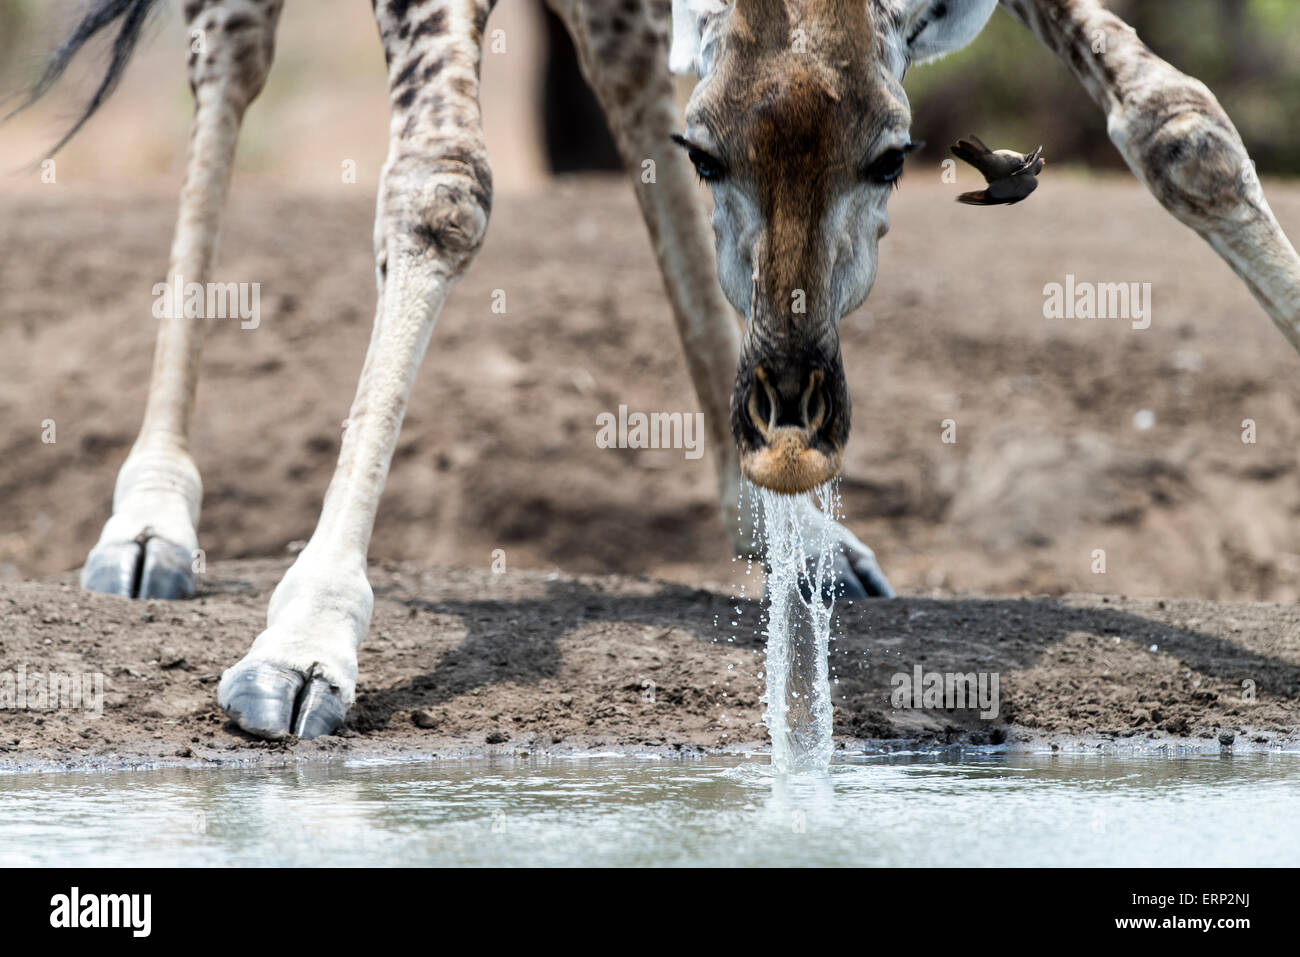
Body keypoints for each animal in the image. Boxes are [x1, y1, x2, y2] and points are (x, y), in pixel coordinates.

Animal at [17, 0, 1300, 738]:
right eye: (708, 155)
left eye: (893, 156)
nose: (793, 412)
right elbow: (439, 181)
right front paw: (302, 645)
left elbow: (1181, 123)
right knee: (230, 54)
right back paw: (151, 520)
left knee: (619, 50)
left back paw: (777, 527)